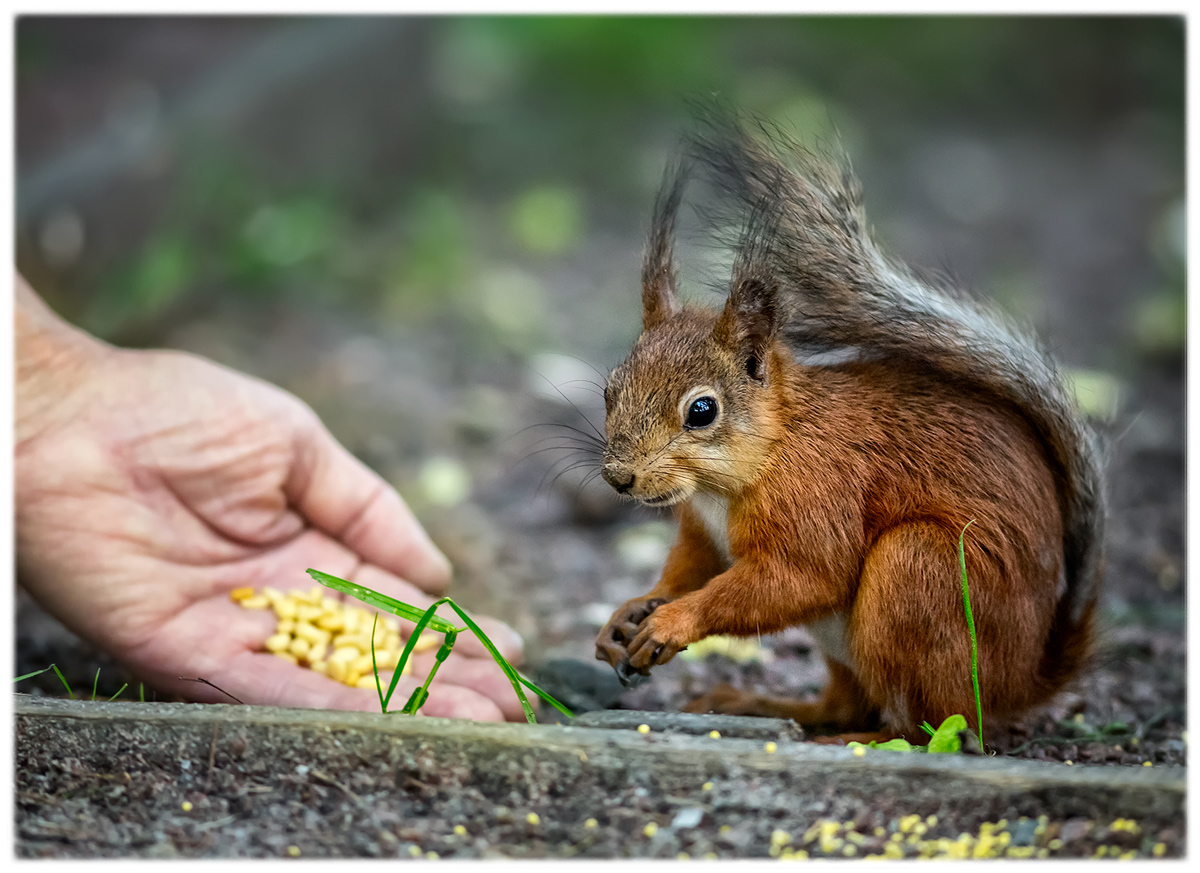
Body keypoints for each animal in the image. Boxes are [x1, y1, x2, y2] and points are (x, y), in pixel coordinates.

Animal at [590, 114, 1104, 743]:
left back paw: (864, 740)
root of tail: (1026, 680)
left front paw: (674, 621)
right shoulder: (703, 532)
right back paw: (764, 706)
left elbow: (800, 579)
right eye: (610, 389)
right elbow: (692, 566)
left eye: (702, 411)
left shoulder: (819, 499)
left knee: (938, 730)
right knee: (847, 703)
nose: (619, 478)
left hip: (920, 572)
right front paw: (633, 610)